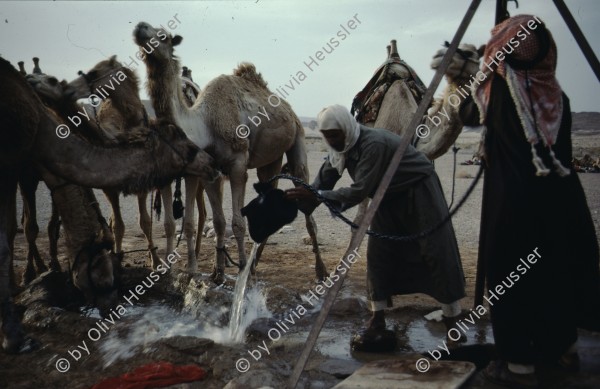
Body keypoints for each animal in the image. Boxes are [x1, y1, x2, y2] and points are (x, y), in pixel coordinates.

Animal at [0, 56, 220, 352]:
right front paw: (14, 336)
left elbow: (145, 221)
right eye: (183, 142)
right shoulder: (17, 169)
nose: (210, 160)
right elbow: (118, 225)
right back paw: (31, 274)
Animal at [134, 21, 326, 282]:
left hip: (297, 140)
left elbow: (237, 222)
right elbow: (218, 222)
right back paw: (255, 266)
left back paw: (320, 270)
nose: (139, 27)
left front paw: (240, 266)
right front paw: (219, 272)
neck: (204, 124)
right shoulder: (210, 171)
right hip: (270, 161)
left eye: (163, 35)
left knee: (306, 206)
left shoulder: (237, 165)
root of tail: (290, 110)